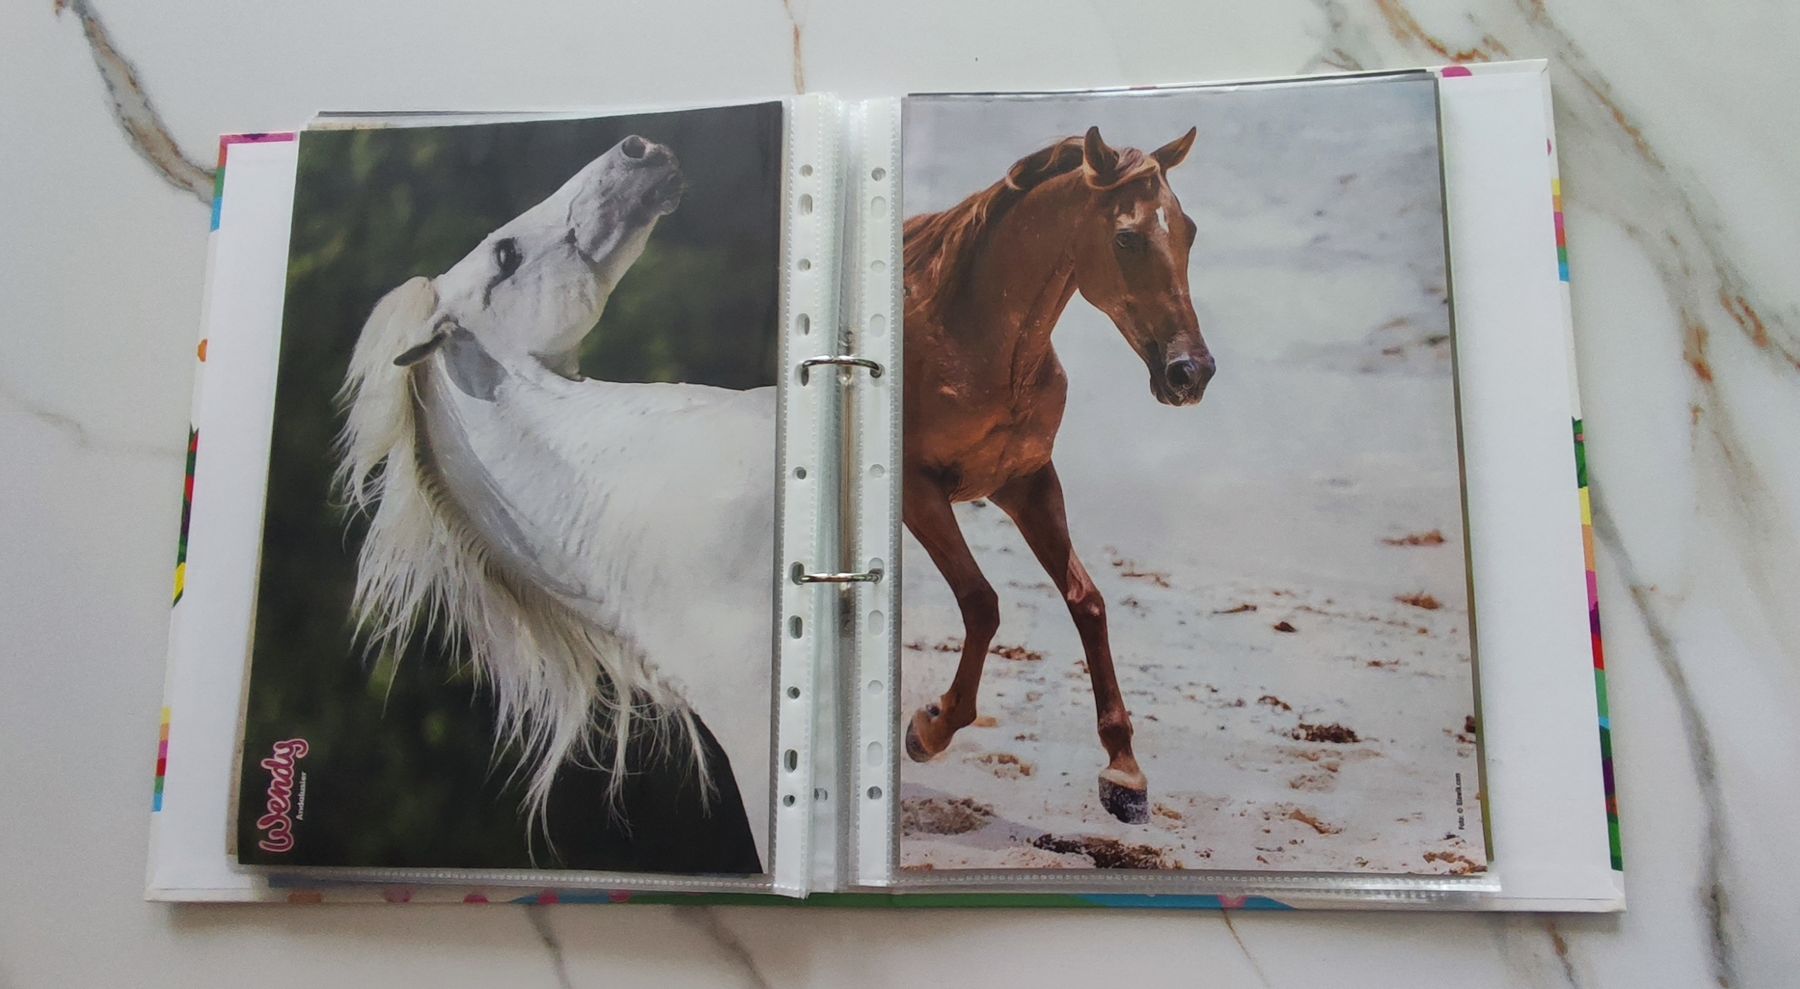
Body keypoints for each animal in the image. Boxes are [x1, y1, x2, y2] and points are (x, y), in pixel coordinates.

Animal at [900, 126, 1208, 824]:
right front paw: (929, 728)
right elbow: (982, 602)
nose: (1191, 373)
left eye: (1189, 231)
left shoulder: (1028, 484)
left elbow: (1086, 601)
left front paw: (1124, 774)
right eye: (1126, 238)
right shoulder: (918, 491)